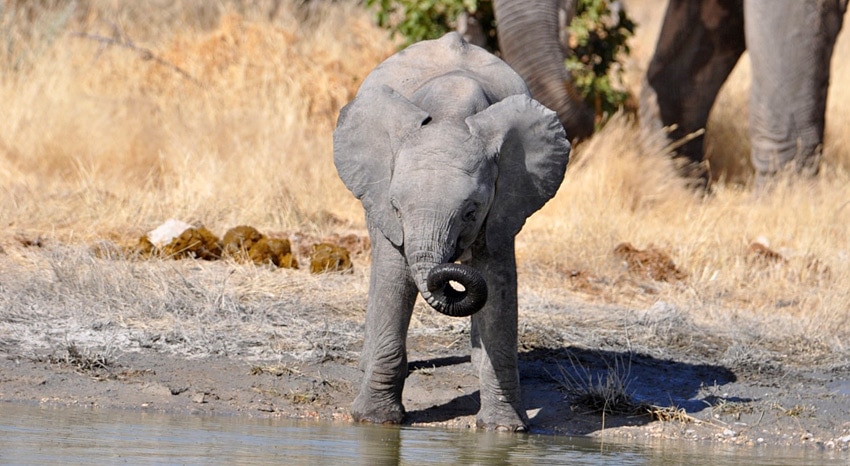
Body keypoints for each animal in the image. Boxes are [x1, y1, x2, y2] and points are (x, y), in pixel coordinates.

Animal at [333, 32, 570, 431]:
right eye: (397, 207)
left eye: (471, 212)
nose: (450, 275)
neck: (451, 111)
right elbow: (393, 276)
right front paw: (374, 422)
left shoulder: (504, 202)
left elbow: (500, 286)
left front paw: (503, 430)